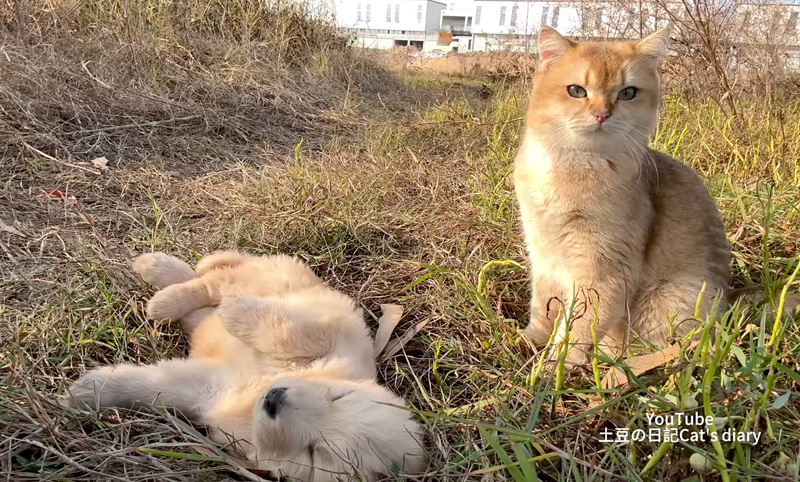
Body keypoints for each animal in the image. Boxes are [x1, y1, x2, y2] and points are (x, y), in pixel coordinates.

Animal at [516, 27, 736, 362]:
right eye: (576, 91)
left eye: (628, 93)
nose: (602, 114)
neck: (571, 165)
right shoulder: (543, 258)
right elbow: (543, 308)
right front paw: (530, 340)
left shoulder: (604, 271)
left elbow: (579, 326)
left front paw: (554, 365)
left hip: (674, 297)